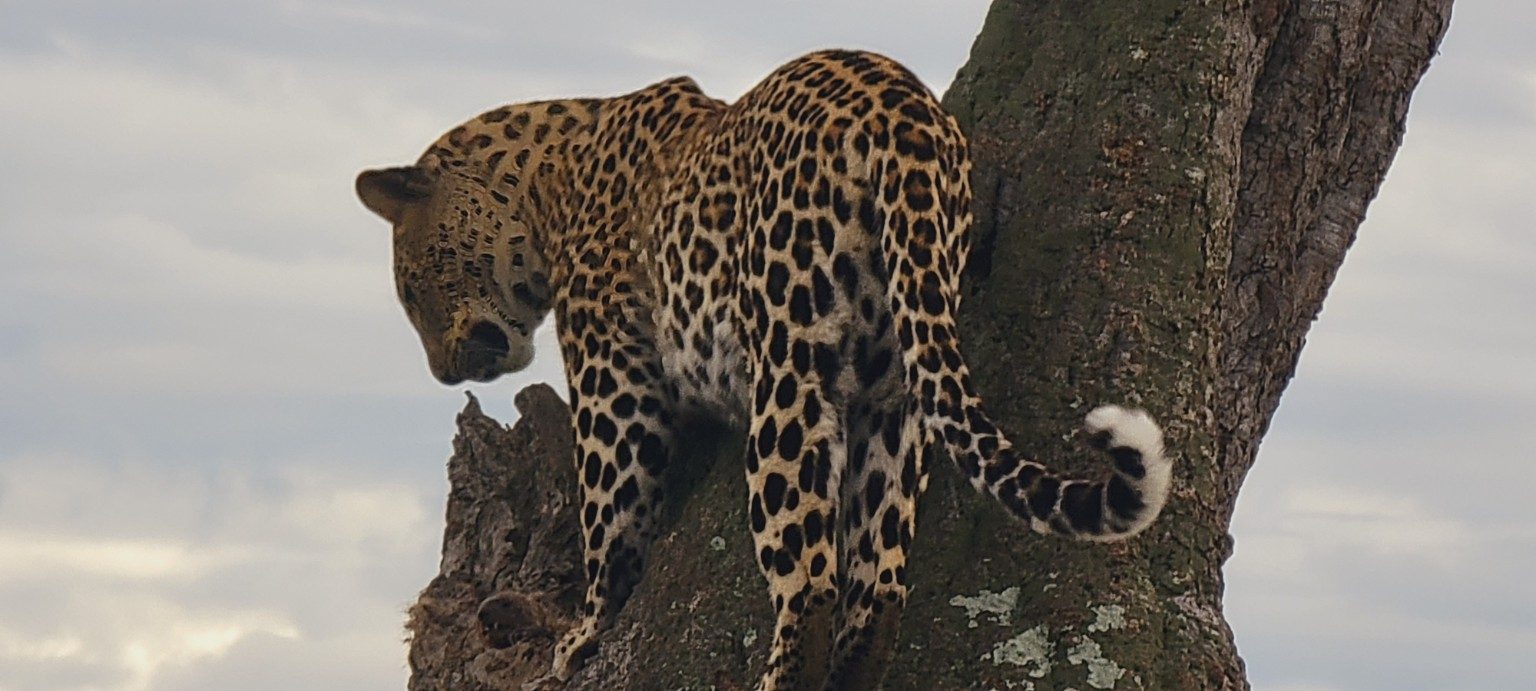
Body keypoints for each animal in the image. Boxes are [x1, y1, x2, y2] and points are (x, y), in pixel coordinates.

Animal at [357, 49, 1171, 690]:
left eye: (411, 287)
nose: (442, 373)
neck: (545, 172)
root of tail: (904, 110)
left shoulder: (611, 374)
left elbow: (610, 513)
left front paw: (582, 633)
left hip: (791, 368)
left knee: (810, 581)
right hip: (899, 387)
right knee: (878, 587)